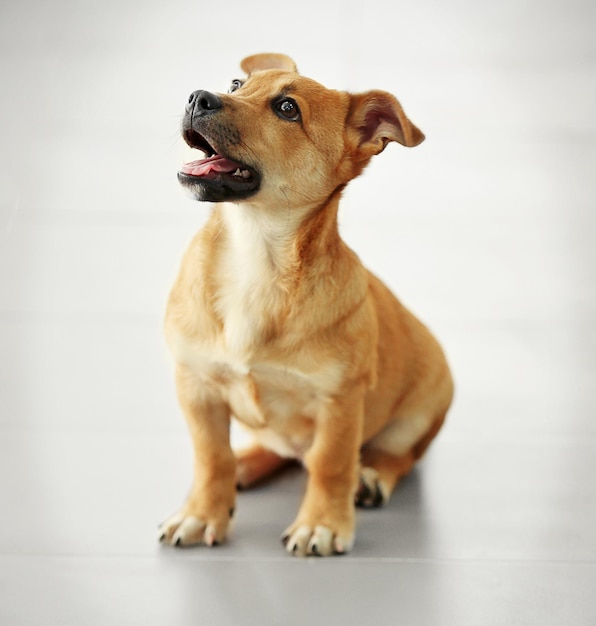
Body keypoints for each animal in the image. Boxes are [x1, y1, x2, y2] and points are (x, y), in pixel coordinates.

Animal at [158, 51, 452, 552]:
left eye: (287, 109)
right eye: (236, 84)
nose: (198, 97)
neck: (256, 259)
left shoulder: (338, 402)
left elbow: (330, 465)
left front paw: (323, 523)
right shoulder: (196, 385)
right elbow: (211, 457)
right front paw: (202, 513)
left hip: (420, 415)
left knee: (393, 456)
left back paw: (371, 477)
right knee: (276, 450)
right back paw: (246, 464)